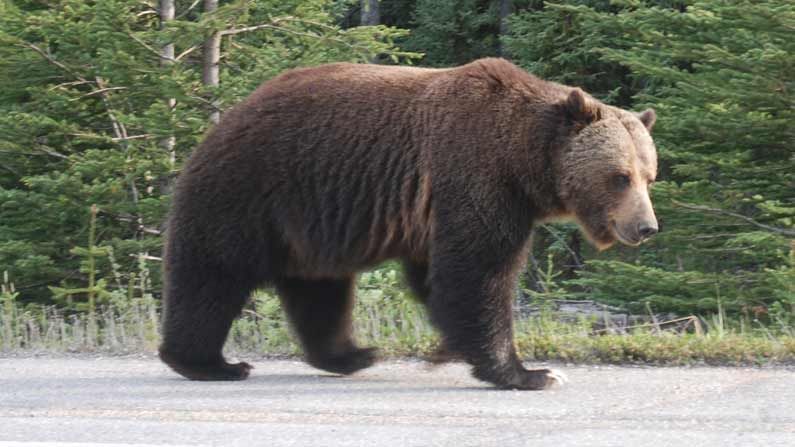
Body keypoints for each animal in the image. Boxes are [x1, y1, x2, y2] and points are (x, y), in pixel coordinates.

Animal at [157, 58, 660, 388]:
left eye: (649, 175)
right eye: (620, 176)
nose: (646, 227)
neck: (523, 161)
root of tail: (223, 119)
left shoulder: (437, 208)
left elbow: (438, 278)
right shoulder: (475, 175)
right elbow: (479, 272)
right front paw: (531, 372)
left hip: (309, 218)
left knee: (319, 288)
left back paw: (351, 355)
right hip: (250, 190)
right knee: (213, 276)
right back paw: (209, 363)